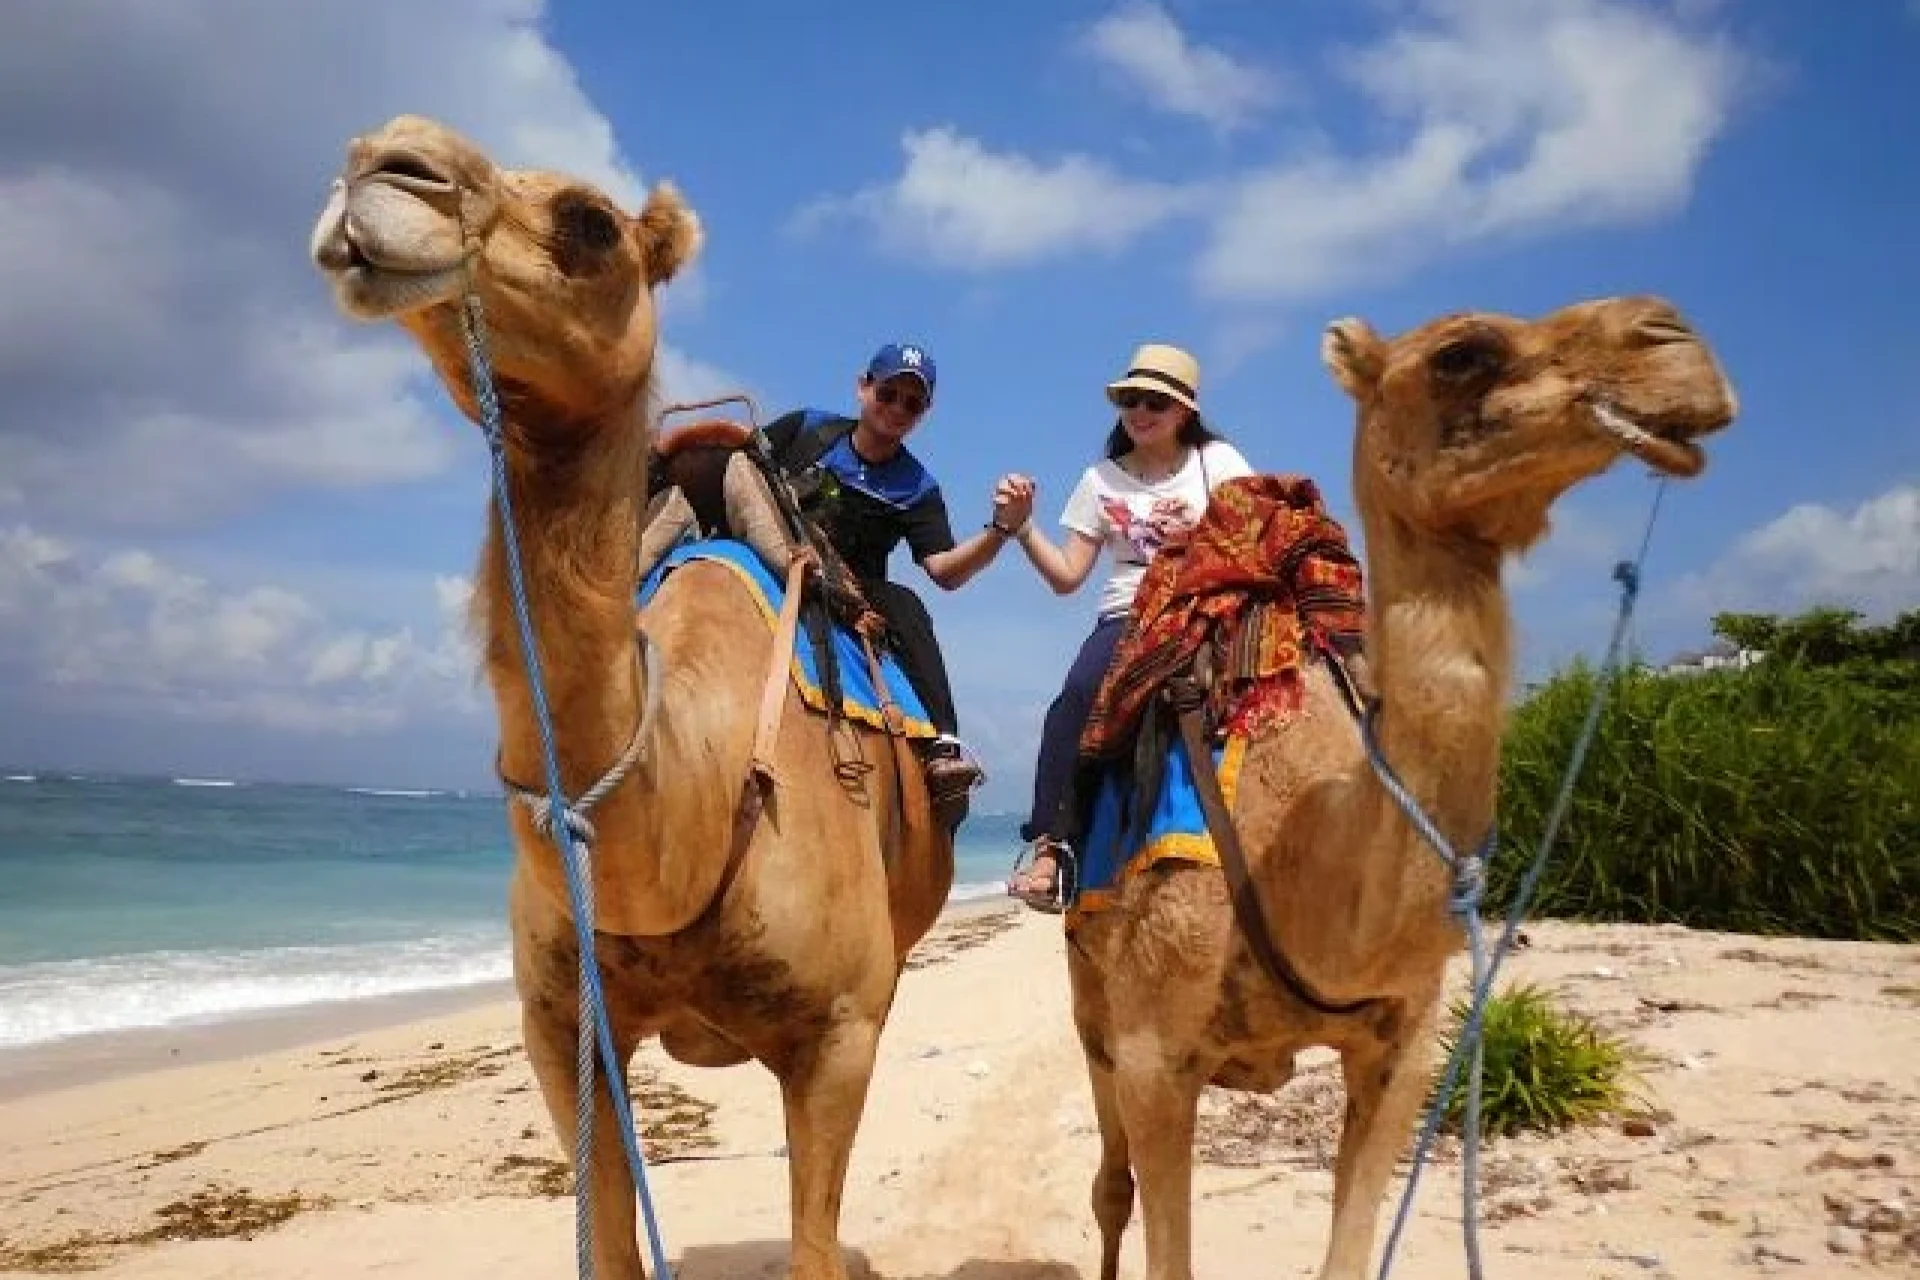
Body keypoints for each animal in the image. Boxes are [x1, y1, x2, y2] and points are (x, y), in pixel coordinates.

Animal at [309, 115, 953, 1280]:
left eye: (590, 223)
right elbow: (608, 1246)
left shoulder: (840, 1029)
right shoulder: (562, 1025)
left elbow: (813, 1242)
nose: (386, 164)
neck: (703, 793)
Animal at [1063, 296, 1737, 1280]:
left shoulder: (1407, 1045)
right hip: (1091, 990)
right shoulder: (1155, 1055)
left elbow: (1350, 1248)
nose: (1675, 339)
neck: (1296, 858)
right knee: (1109, 1182)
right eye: (1462, 353)